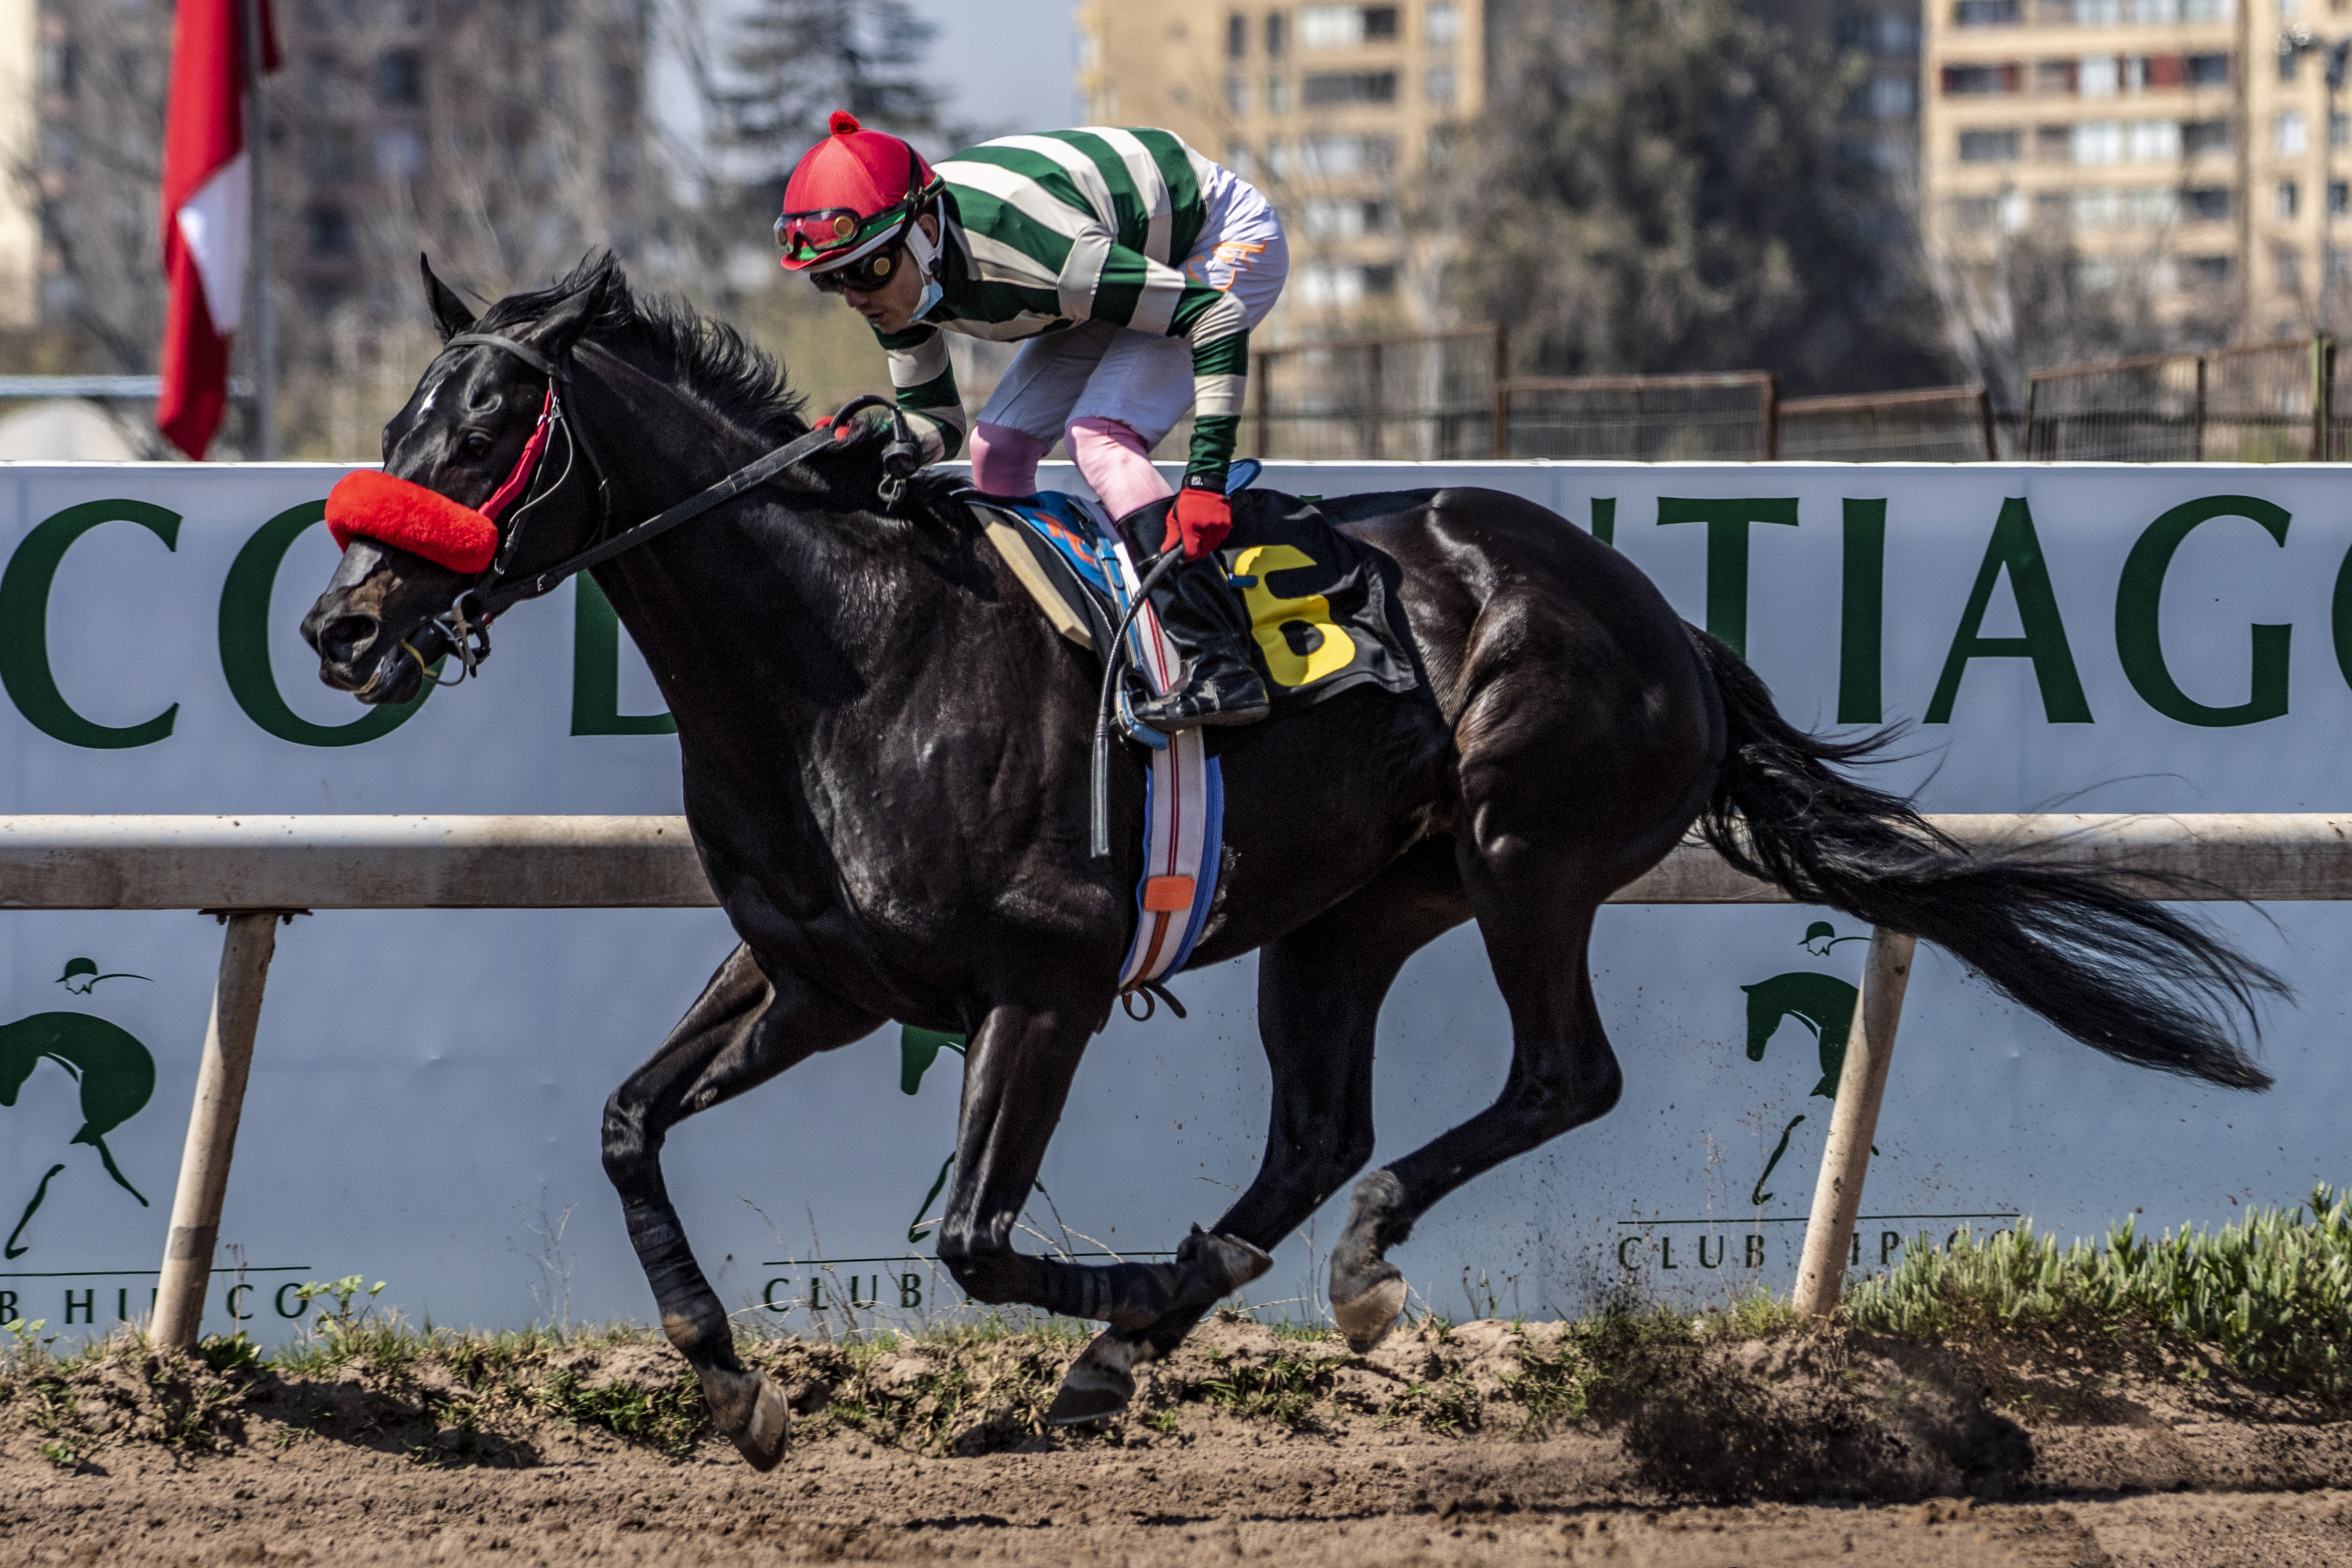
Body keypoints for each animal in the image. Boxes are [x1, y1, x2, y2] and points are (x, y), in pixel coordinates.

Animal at [301, 255, 2279, 1470]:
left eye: (489, 429)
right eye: (402, 419)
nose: (337, 626)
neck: (849, 656)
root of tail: (1663, 620)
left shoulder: (1042, 982)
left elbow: (972, 1239)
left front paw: (1114, 1309)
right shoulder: (817, 978)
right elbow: (628, 1122)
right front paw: (731, 1378)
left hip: (1521, 845)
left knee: (1556, 1075)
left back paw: (1332, 1275)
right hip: (1348, 914)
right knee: (1321, 1130)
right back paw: (1203, 1304)